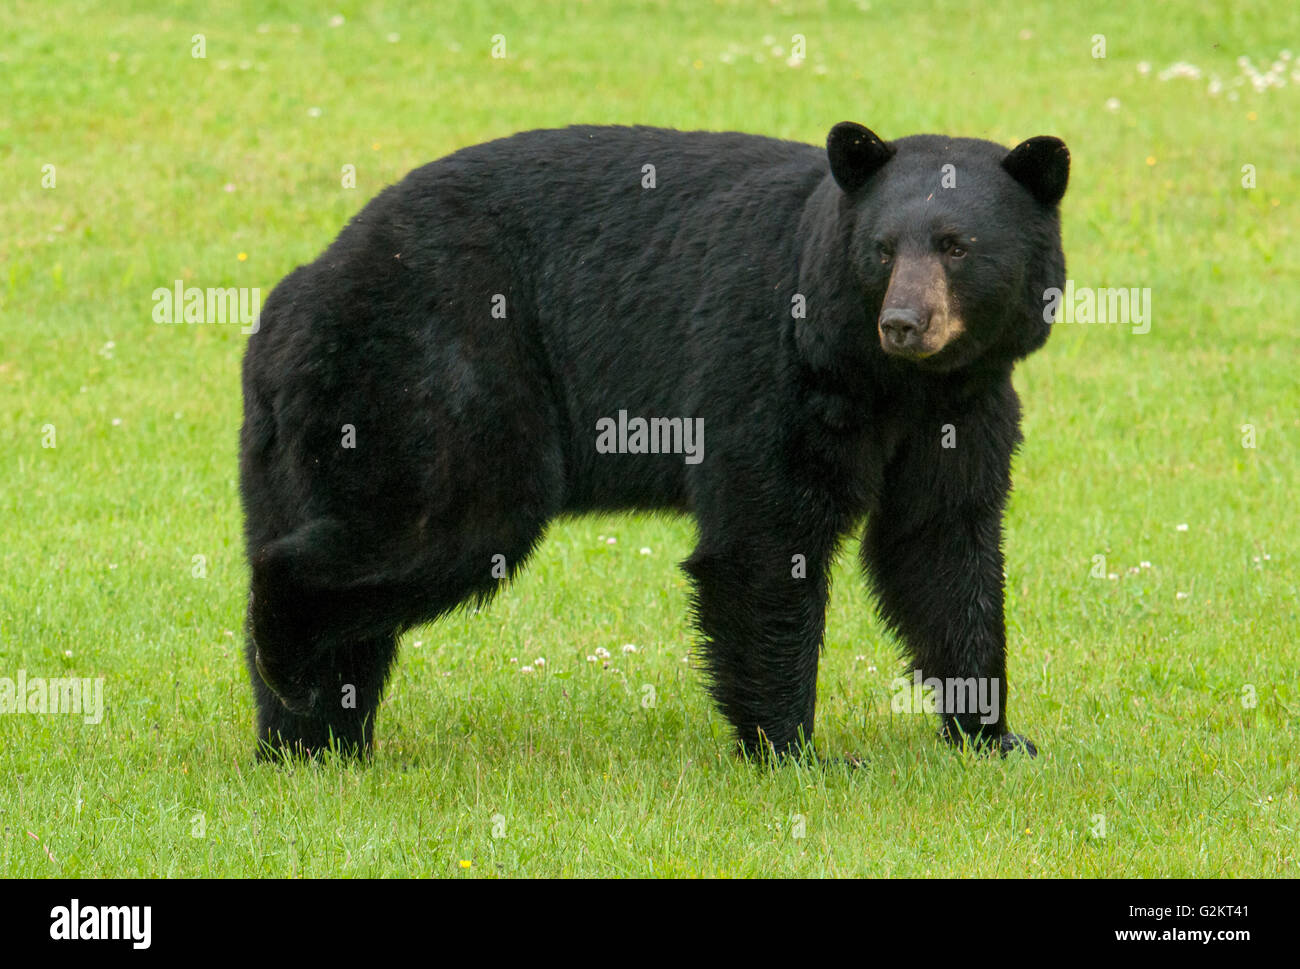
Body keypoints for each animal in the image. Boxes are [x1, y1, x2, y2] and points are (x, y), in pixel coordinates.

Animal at [241, 120, 1066, 759]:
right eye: (884, 248)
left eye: (957, 246)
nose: (903, 322)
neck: (888, 380)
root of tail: (294, 295)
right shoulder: (768, 368)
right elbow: (766, 537)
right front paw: (793, 748)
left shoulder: (963, 407)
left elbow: (941, 544)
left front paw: (992, 733)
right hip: (438, 371)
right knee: (446, 523)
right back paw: (291, 663)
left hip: (304, 436)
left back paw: (311, 737)